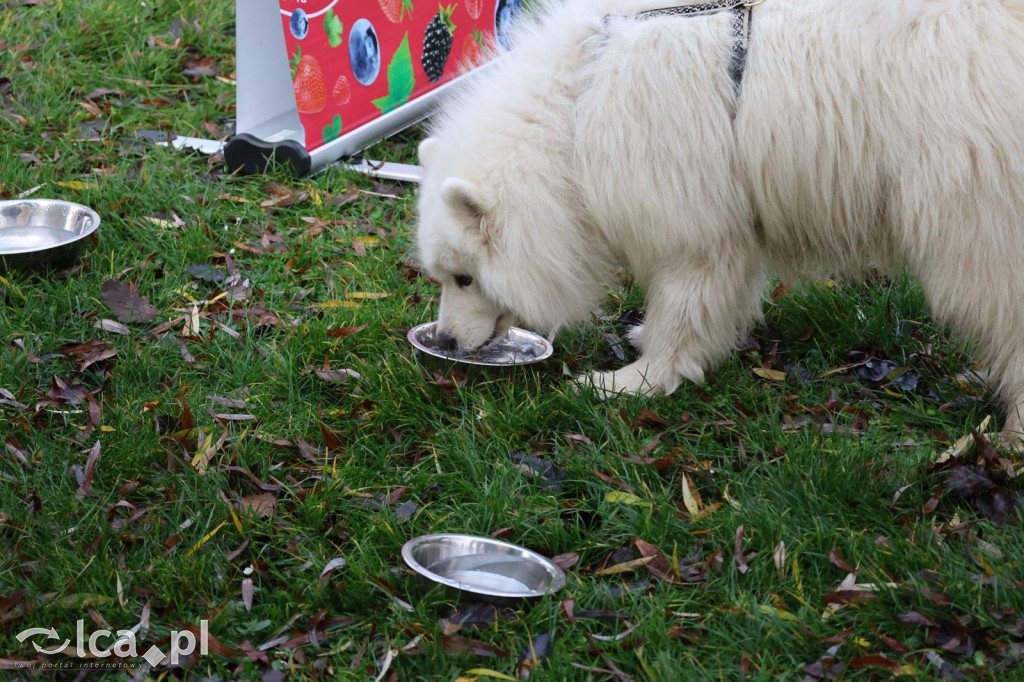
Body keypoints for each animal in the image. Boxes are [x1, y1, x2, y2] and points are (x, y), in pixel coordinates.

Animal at [411, 0, 1024, 436]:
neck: (578, 101)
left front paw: (630, 381)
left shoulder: (689, 211)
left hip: (972, 205)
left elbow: (686, 299)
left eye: (465, 278)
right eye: (440, 276)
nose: (444, 339)